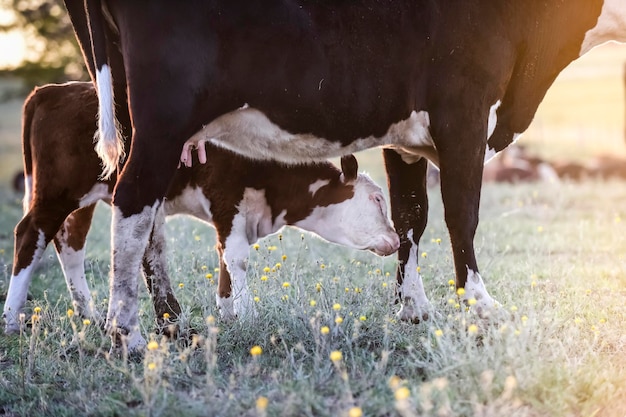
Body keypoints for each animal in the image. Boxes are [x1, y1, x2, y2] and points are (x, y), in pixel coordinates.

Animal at [0, 81, 398, 334]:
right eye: (377, 200)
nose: (396, 241)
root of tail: (53, 90)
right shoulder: (228, 202)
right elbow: (236, 258)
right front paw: (249, 317)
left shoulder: (235, 217)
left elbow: (225, 261)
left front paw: (229, 316)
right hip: (59, 190)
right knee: (30, 234)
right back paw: (11, 319)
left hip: (86, 195)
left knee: (70, 243)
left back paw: (90, 315)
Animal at [62, 0, 624, 350]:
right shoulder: (463, 112)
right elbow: (462, 216)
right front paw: (481, 306)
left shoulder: (407, 134)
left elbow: (411, 218)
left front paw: (412, 308)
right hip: (165, 112)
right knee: (133, 198)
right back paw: (128, 334)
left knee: (145, 215)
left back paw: (168, 322)